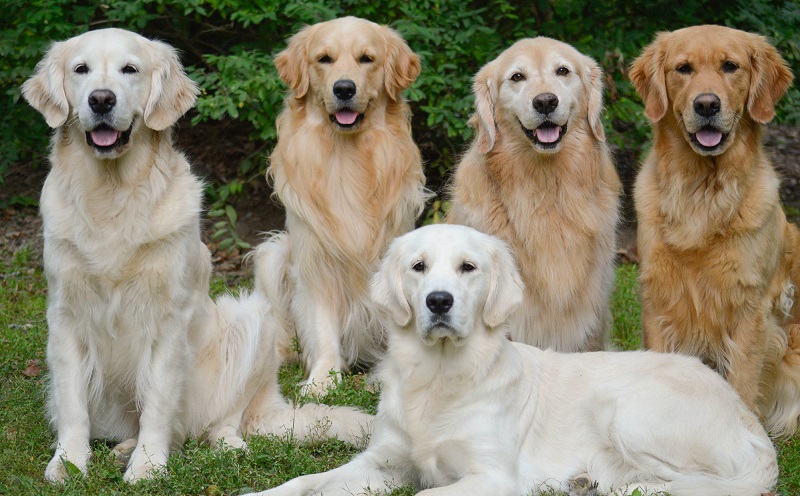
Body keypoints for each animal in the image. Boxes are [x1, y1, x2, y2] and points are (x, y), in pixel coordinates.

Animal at [22, 29, 372, 482]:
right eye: (80, 69)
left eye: (130, 69)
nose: (101, 99)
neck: (112, 197)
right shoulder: (65, 316)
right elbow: (71, 403)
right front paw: (68, 461)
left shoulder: (168, 320)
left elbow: (157, 402)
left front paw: (147, 466)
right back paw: (123, 448)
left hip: (252, 321)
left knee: (218, 422)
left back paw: (225, 445)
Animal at [247, 226, 780, 496]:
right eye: (418, 266)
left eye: (468, 267)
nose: (438, 302)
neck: (438, 380)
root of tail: (745, 414)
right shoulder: (382, 462)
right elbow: (305, 480)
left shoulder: (492, 477)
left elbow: (423, 494)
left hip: (625, 411)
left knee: (699, 484)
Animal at [255, 16, 432, 392]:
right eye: (324, 59)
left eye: (367, 59)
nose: (344, 89)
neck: (346, 157)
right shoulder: (315, 261)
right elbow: (323, 329)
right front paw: (322, 379)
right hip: (272, 255)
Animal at [632, 24, 800, 434]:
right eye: (683, 68)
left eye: (730, 66)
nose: (706, 105)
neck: (701, 196)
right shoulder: (659, 302)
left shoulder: (750, 310)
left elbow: (742, 384)